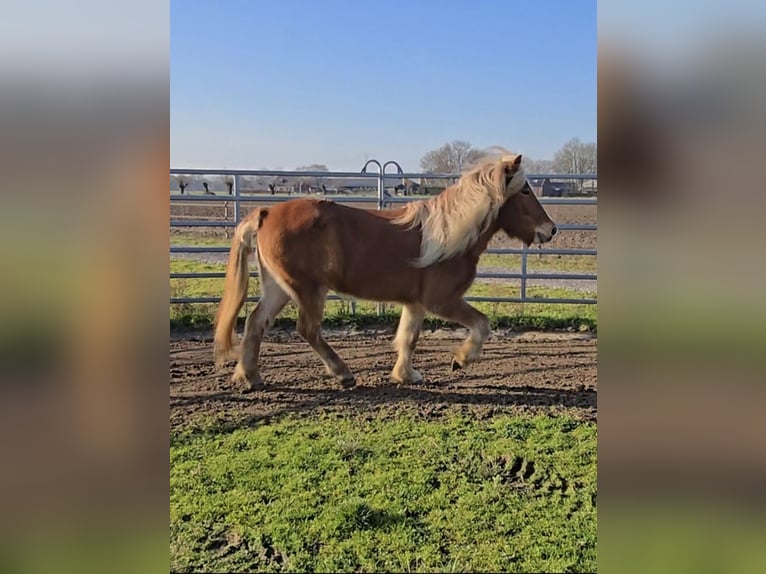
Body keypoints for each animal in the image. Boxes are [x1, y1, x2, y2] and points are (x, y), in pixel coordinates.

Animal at [213, 151, 557, 391]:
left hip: (279, 287)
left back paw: (251, 377)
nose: (550, 230)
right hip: (306, 289)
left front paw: (406, 375)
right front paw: (460, 360)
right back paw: (343, 374)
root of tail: (266, 213)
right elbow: (482, 325)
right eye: (525, 191)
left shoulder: (416, 304)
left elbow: (408, 338)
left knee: (256, 323)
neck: (451, 233)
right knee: (307, 329)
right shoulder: (443, 302)